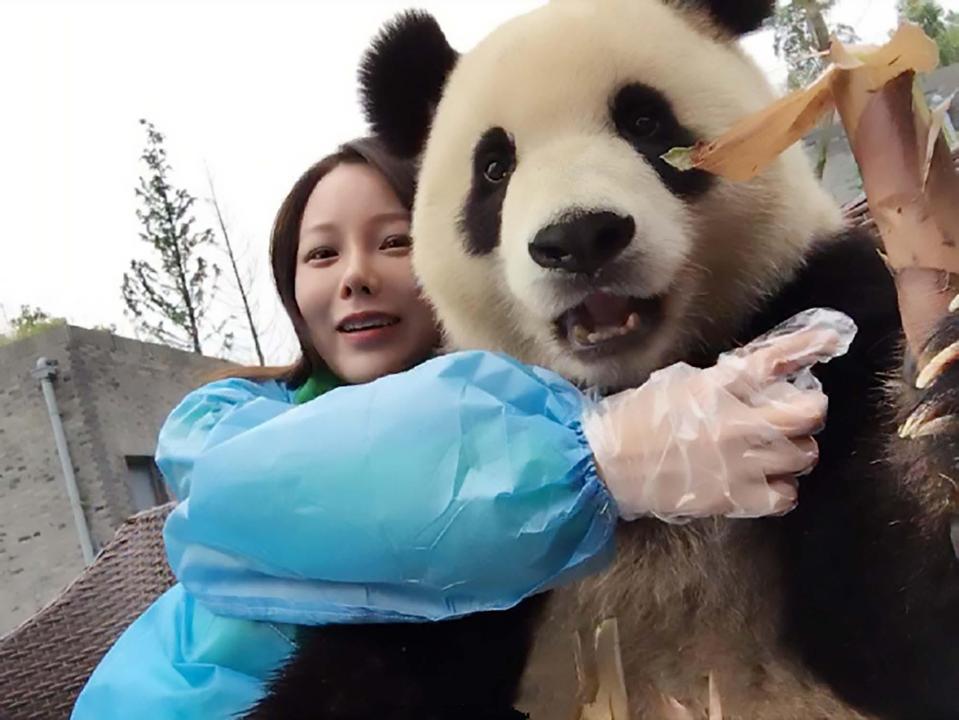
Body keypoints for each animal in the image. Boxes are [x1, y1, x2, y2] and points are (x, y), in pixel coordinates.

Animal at [248, 1, 959, 720]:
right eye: (494, 167)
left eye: (644, 121)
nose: (578, 237)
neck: (635, 385)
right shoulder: (450, 535)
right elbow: (373, 658)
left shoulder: (828, 302)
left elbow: (894, 631)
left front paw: (942, 405)